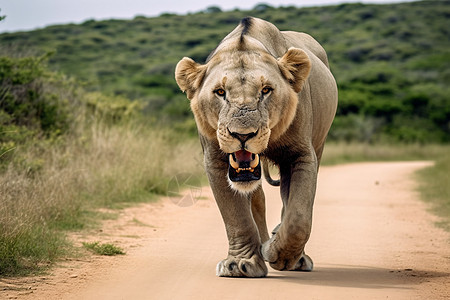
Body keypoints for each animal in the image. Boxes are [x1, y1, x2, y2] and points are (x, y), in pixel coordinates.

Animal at [176, 17, 338, 278]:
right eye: (220, 92)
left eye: (266, 90)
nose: (243, 135)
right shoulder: (215, 160)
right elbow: (236, 217)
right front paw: (241, 264)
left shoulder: (301, 155)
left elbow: (299, 218)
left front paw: (278, 253)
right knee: (258, 200)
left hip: (319, 144)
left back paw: (288, 251)